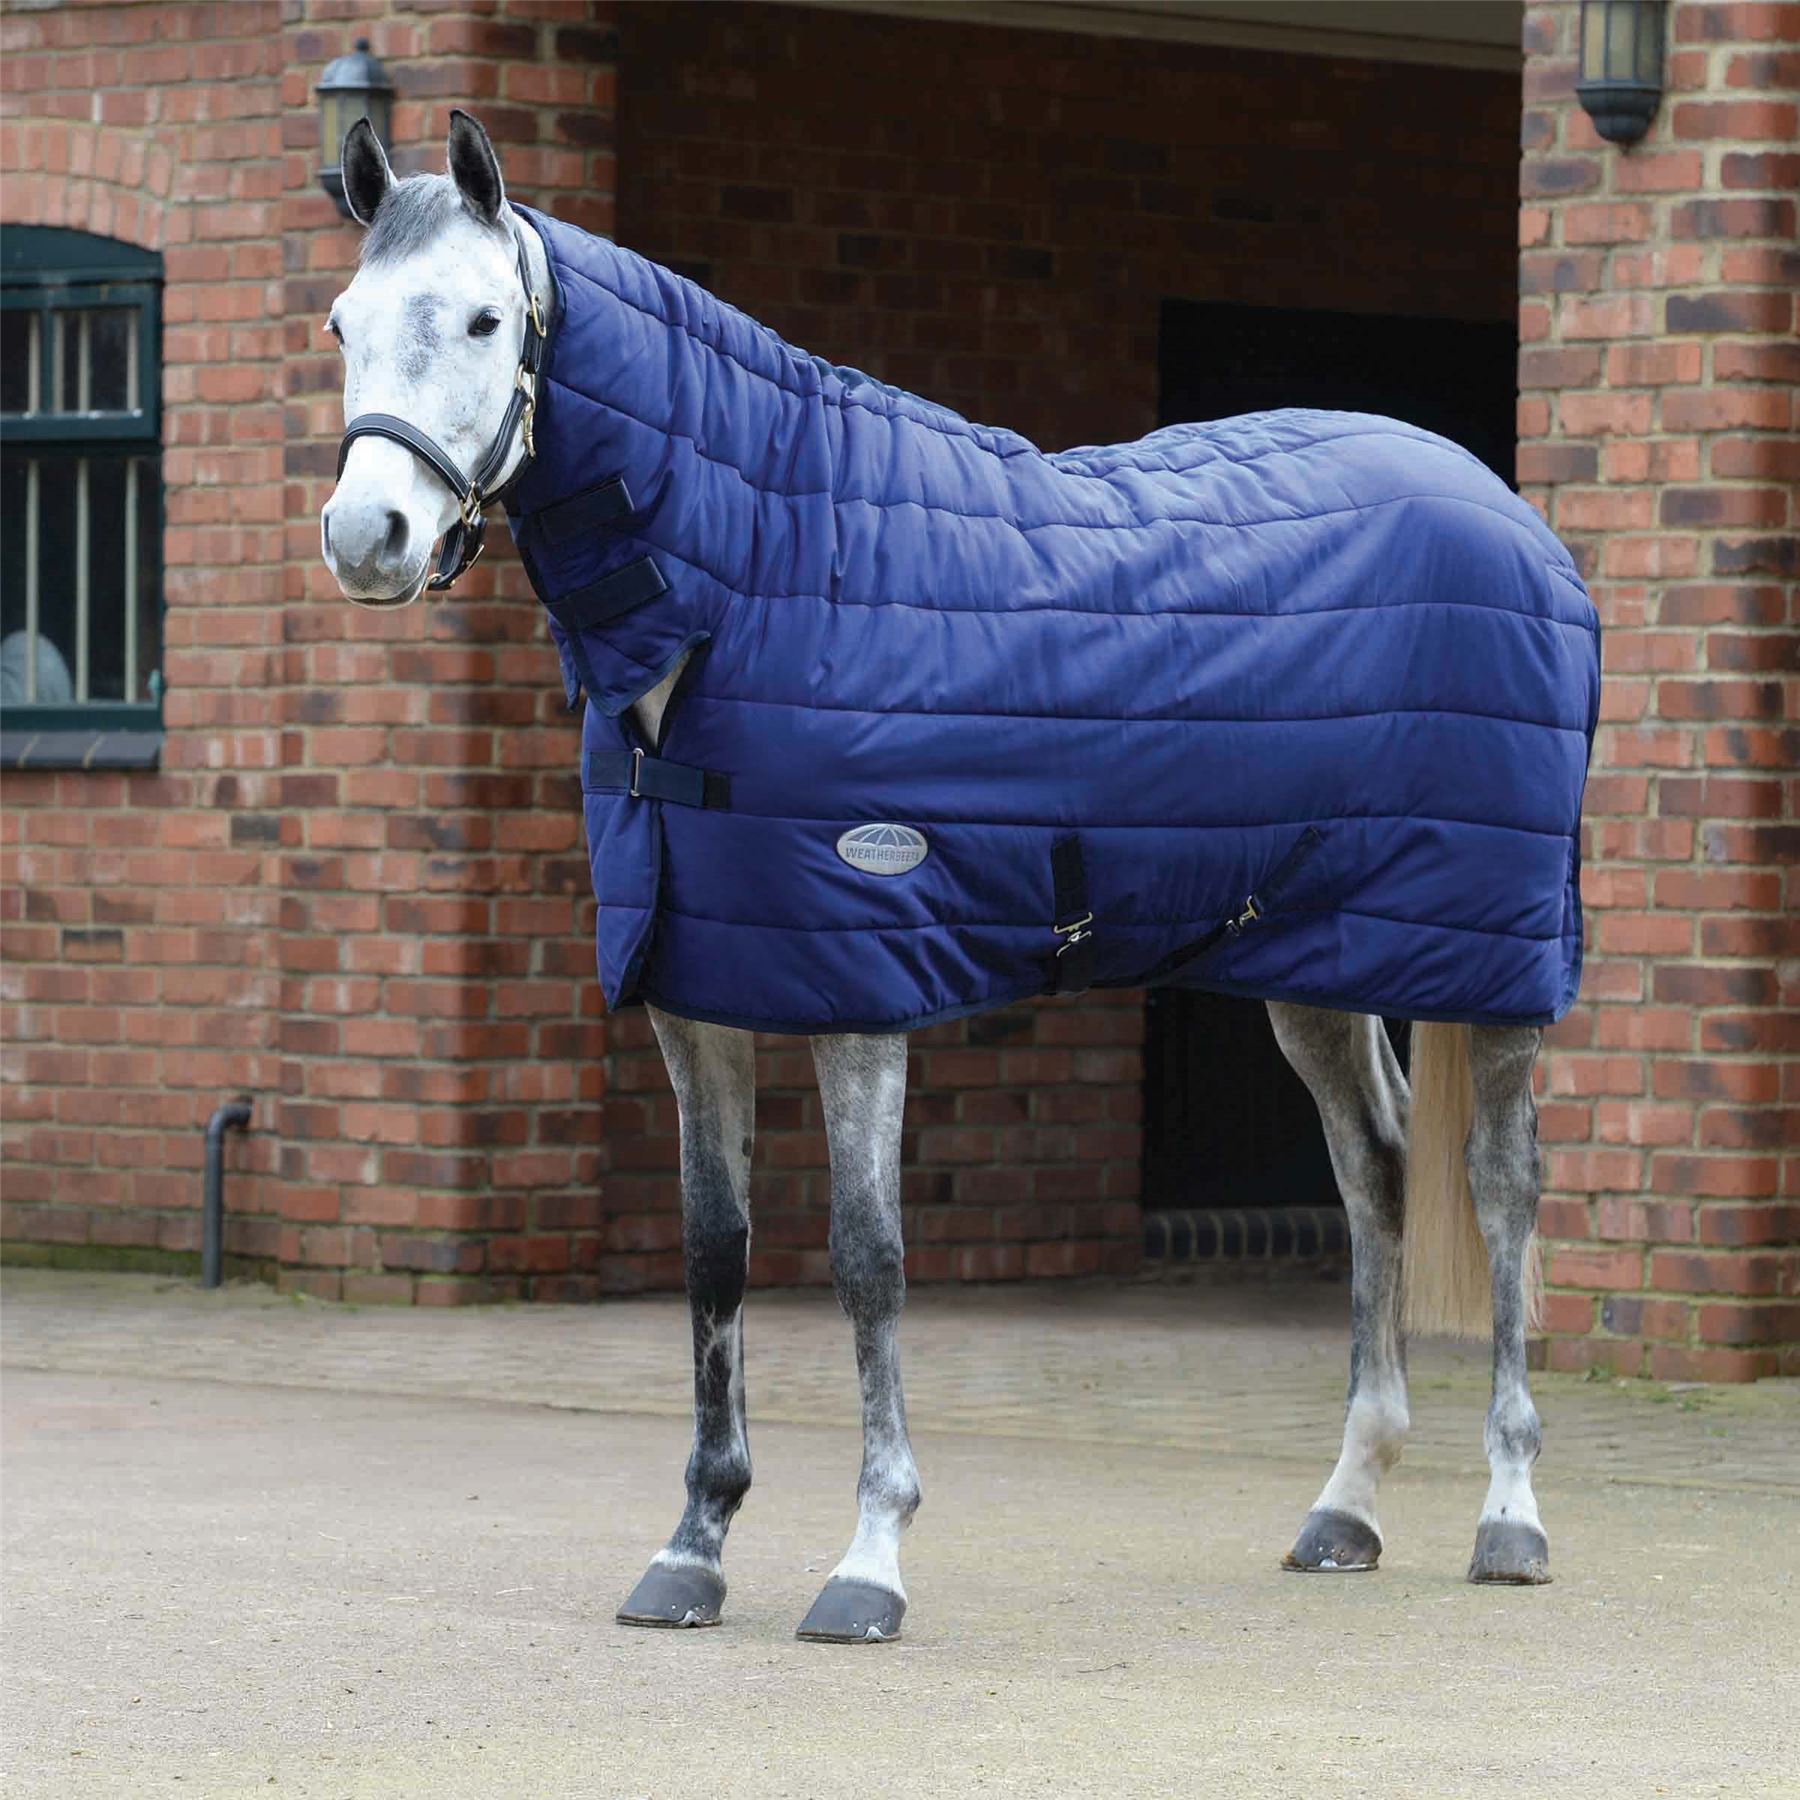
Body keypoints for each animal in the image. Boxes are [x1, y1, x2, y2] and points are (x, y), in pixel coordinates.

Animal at [322, 112, 1589, 1641]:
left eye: (485, 318)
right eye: (342, 324)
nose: (367, 538)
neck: (762, 576)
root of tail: (1507, 515)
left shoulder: (864, 991)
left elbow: (867, 1260)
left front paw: (869, 1562)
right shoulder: (696, 995)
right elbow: (714, 1255)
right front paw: (693, 1548)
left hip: (1493, 962)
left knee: (1502, 1188)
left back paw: (1511, 1517)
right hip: (1315, 964)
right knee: (1378, 1171)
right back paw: (1346, 1504)